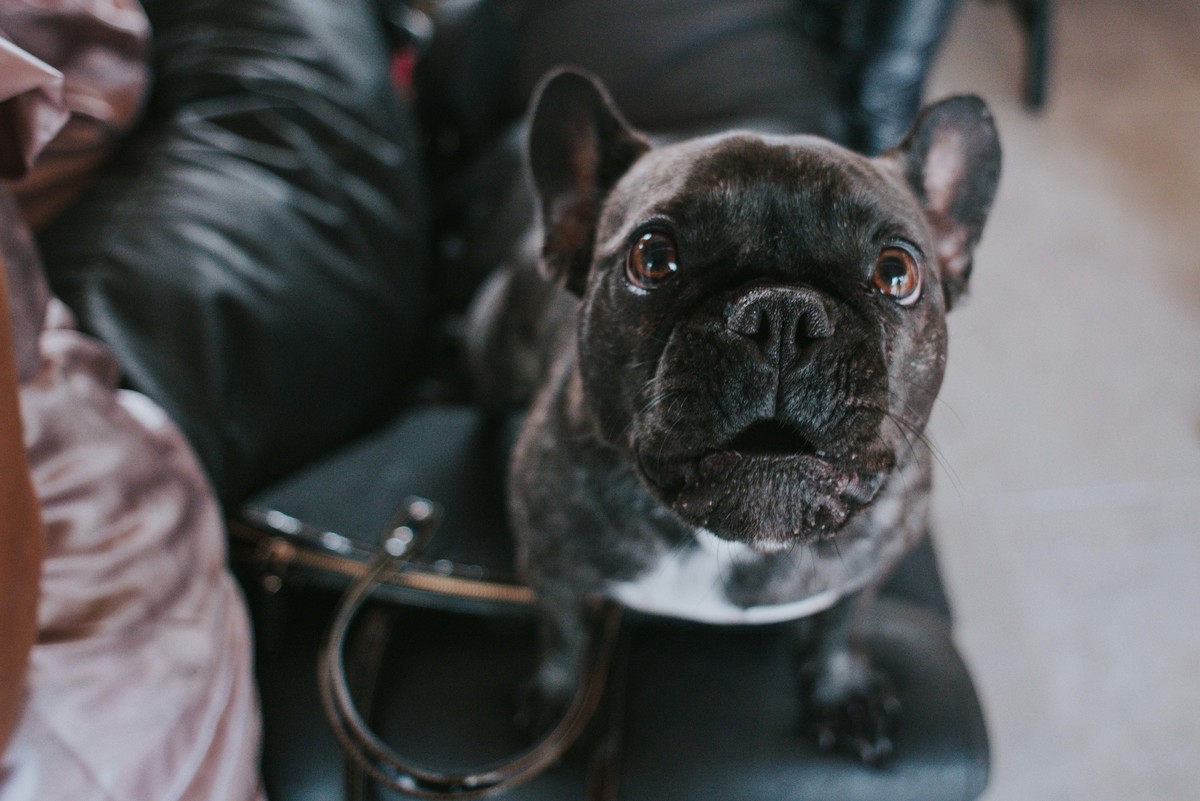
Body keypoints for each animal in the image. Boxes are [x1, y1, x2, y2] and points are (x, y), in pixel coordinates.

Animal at [467, 67, 1000, 764]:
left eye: (897, 271)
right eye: (652, 258)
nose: (782, 314)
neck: (725, 546)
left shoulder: (872, 566)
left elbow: (842, 623)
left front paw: (842, 691)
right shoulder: (550, 567)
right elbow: (563, 635)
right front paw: (561, 706)